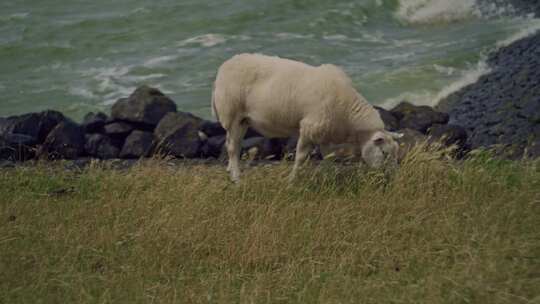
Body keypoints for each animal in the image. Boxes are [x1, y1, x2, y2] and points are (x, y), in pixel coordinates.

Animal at [211, 53, 400, 182]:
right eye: (384, 153)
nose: (389, 177)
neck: (348, 113)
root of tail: (223, 68)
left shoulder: (325, 131)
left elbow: (329, 157)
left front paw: (330, 176)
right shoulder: (309, 128)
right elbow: (301, 157)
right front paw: (292, 180)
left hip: (243, 120)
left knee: (231, 144)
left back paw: (230, 170)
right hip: (232, 114)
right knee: (233, 148)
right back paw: (236, 178)